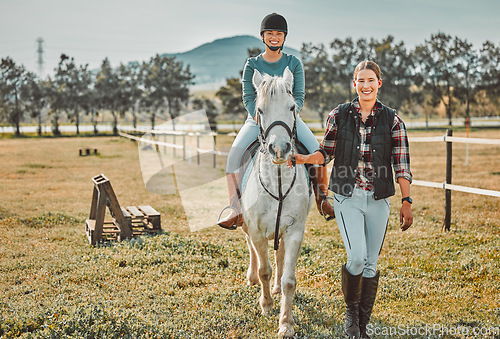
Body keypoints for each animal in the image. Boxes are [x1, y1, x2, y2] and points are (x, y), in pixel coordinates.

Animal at [240, 67, 310, 338]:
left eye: (292, 107)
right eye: (259, 110)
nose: (279, 149)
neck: (278, 182)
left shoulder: (294, 231)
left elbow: (289, 280)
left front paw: (286, 323)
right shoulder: (257, 231)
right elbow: (264, 270)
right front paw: (267, 305)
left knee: (279, 258)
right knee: (251, 250)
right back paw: (252, 278)